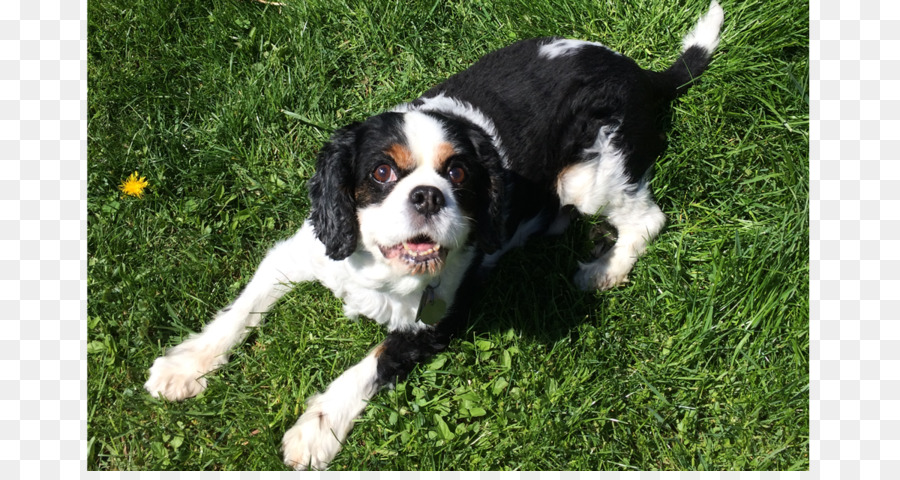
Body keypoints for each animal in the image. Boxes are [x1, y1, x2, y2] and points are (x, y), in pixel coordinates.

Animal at [144, 1, 728, 470]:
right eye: (381, 171)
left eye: (459, 173)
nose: (427, 195)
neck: (383, 267)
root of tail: (642, 74)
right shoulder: (302, 252)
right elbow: (241, 309)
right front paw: (183, 368)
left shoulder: (437, 319)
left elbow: (370, 364)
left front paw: (314, 431)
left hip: (590, 176)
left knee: (647, 219)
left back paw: (603, 271)